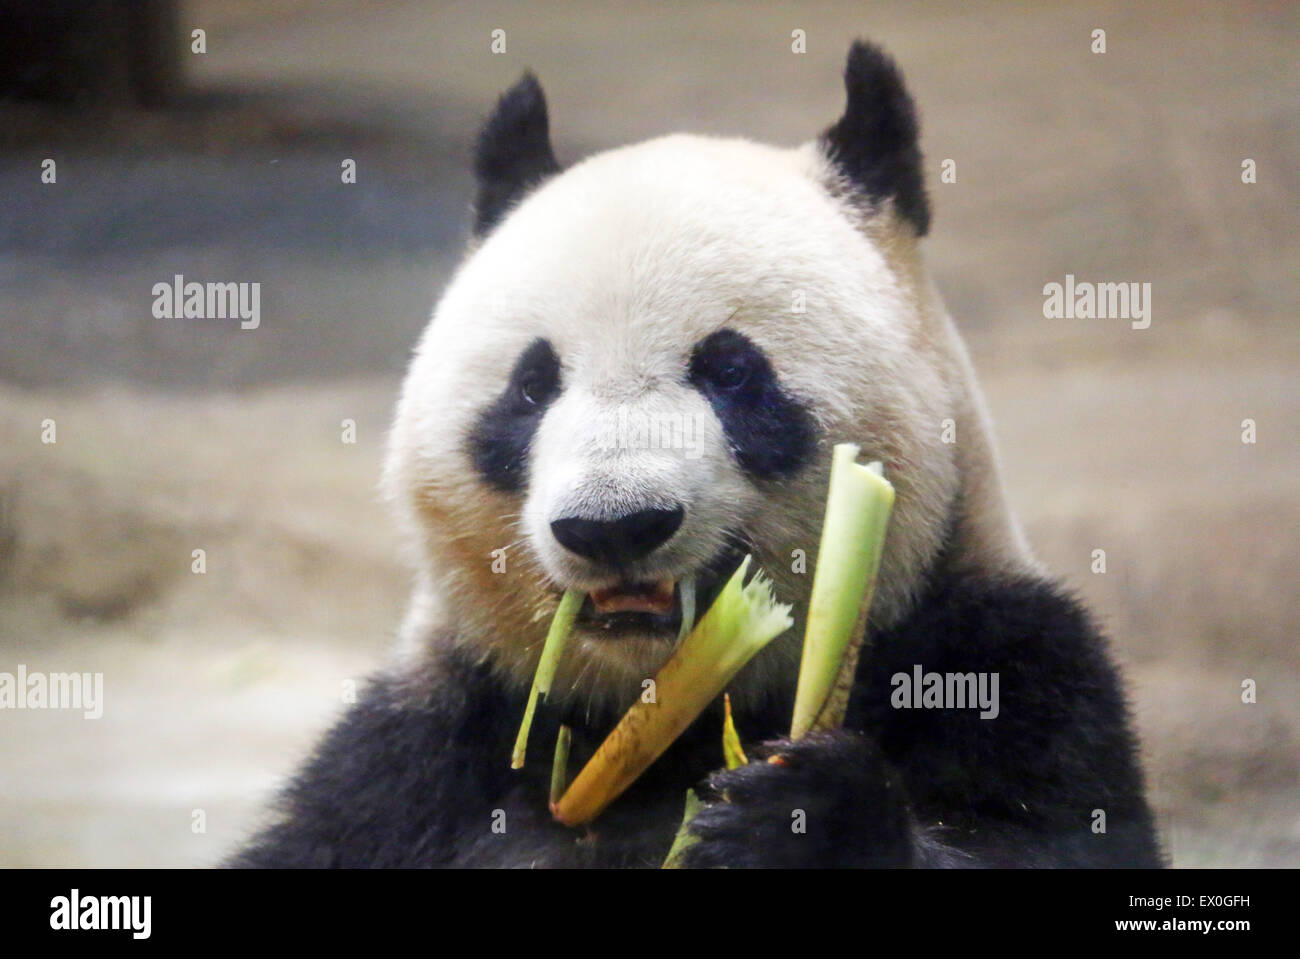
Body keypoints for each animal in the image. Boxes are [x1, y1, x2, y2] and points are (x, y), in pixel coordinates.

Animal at [228, 41, 1164, 868]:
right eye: (531, 386)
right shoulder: (423, 747)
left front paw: (802, 813)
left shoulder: (1002, 662)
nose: (615, 525)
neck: (654, 719)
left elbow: (1059, 832)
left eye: (731, 371)